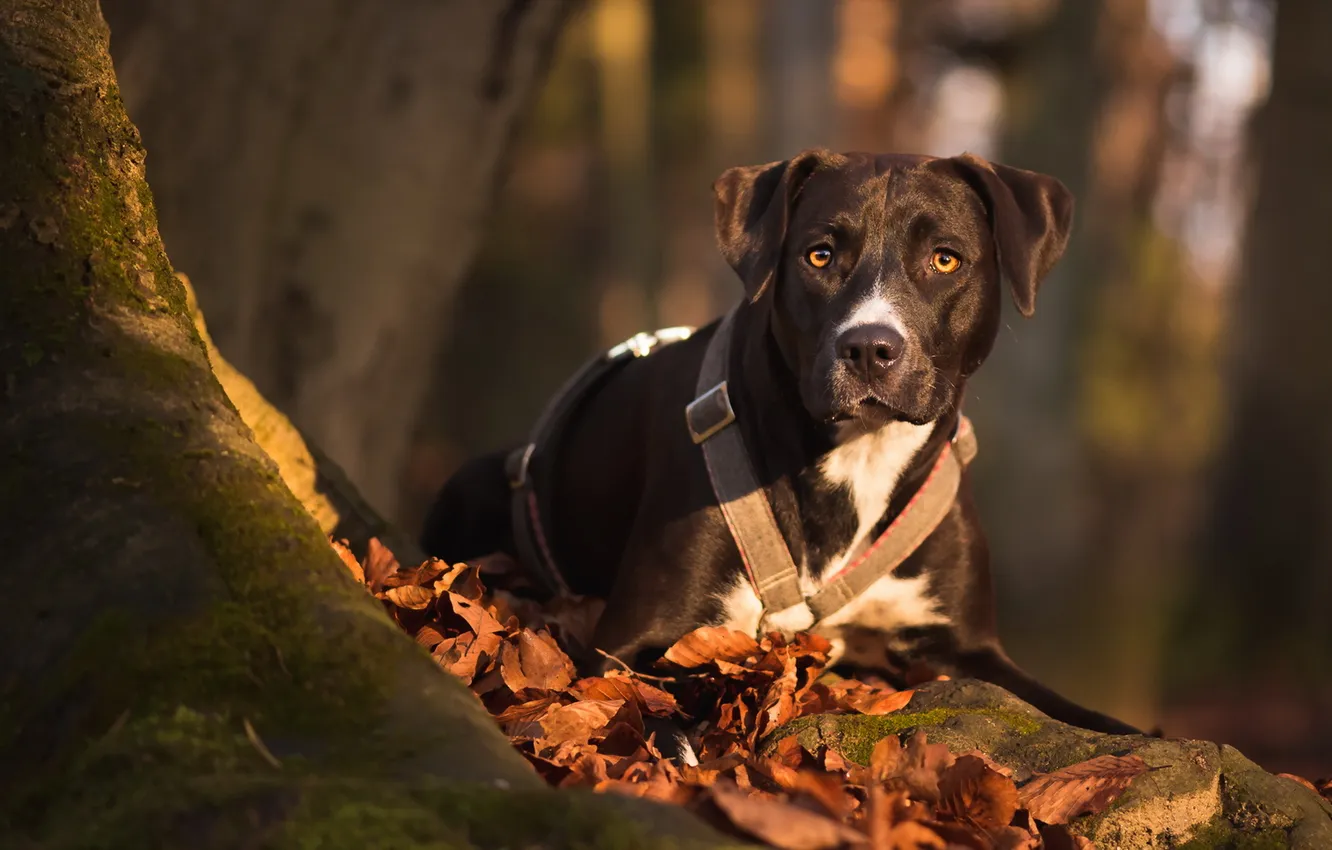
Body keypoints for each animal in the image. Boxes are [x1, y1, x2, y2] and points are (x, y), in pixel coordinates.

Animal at [426, 151, 1145, 740]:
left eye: (946, 259)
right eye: (819, 255)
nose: (869, 347)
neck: (861, 456)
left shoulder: (966, 646)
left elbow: (1083, 715)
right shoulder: (635, 641)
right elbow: (693, 677)